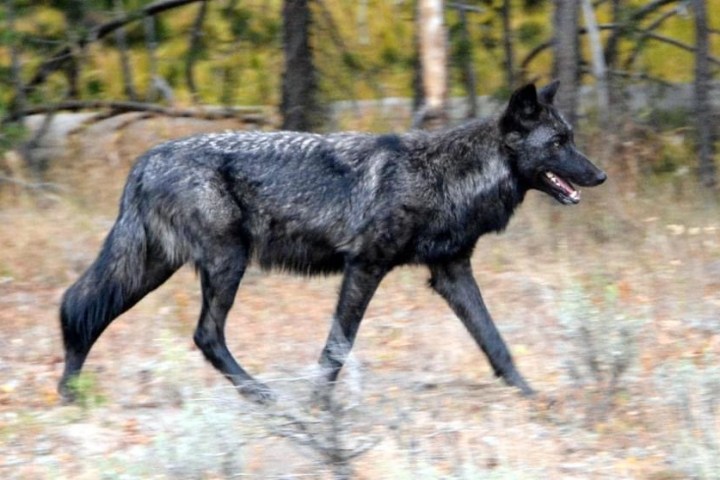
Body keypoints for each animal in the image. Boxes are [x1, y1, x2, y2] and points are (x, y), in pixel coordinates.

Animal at [58, 82, 606, 404]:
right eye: (559, 143)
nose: (600, 175)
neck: (444, 177)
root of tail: (145, 159)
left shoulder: (452, 272)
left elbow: (496, 343)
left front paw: (529, 395)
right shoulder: (364, 267)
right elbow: (338, 347)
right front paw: (320, 406)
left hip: (153, 269)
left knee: (80, 307)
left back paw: (70, 391)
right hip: (225, 264)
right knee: (203, 335)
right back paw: (261, 395)